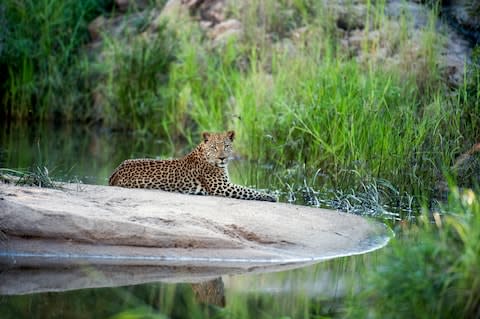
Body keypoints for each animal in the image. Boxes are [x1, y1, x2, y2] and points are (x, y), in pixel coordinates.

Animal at [107, 131, 276, 202]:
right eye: (214, 147)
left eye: (226, 146)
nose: (222, 157)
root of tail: (114, 173)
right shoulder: (222, 187)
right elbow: (248, 190)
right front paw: (270, 196)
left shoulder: (224, 185)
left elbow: (248, 189)